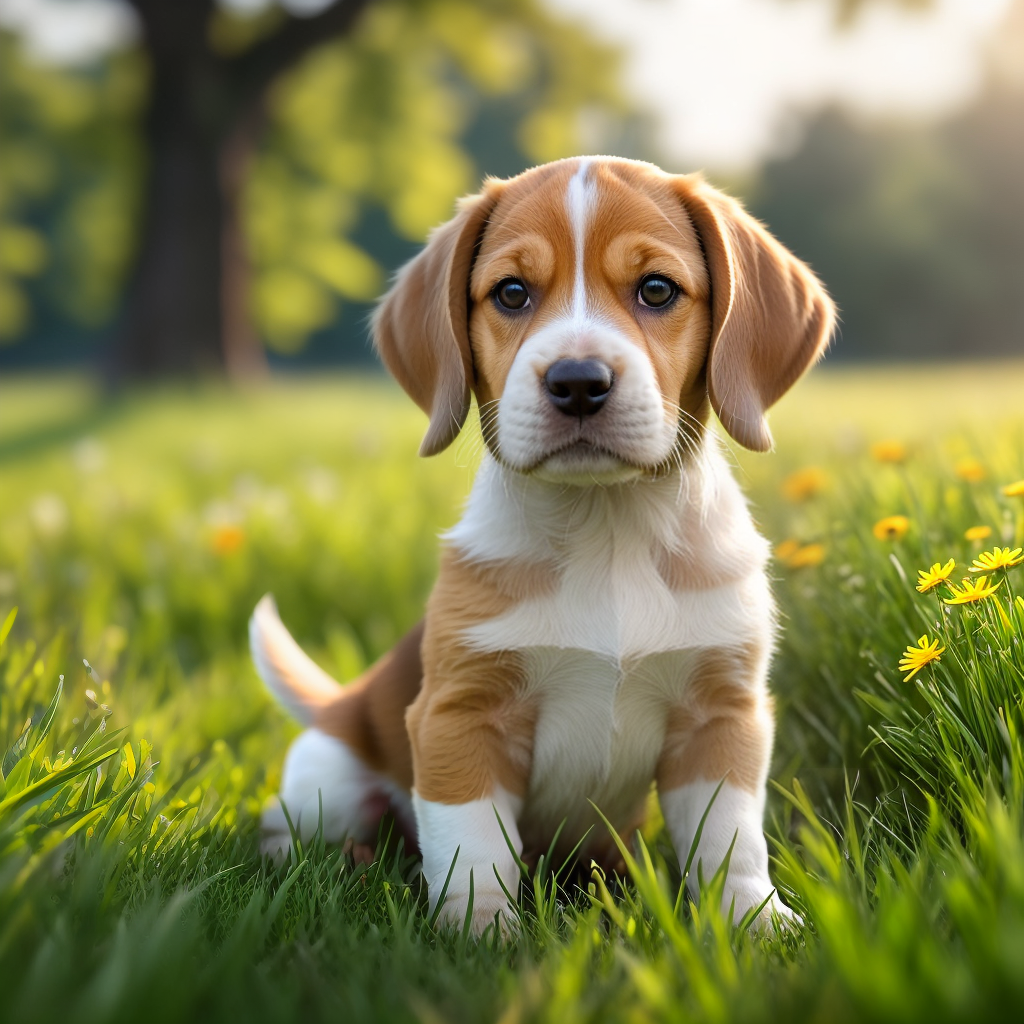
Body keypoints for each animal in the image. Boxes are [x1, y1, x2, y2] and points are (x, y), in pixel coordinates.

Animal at [249, 155, 831, 933]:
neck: (607, 527)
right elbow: (471, 846)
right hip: (330, 781)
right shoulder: (458, 717)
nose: (578, 381)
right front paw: (480, 931)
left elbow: (729, 839)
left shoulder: (722, 717)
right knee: (292, 827)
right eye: (512, 292)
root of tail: (341, 704)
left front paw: (755, 921)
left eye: (656, 289)